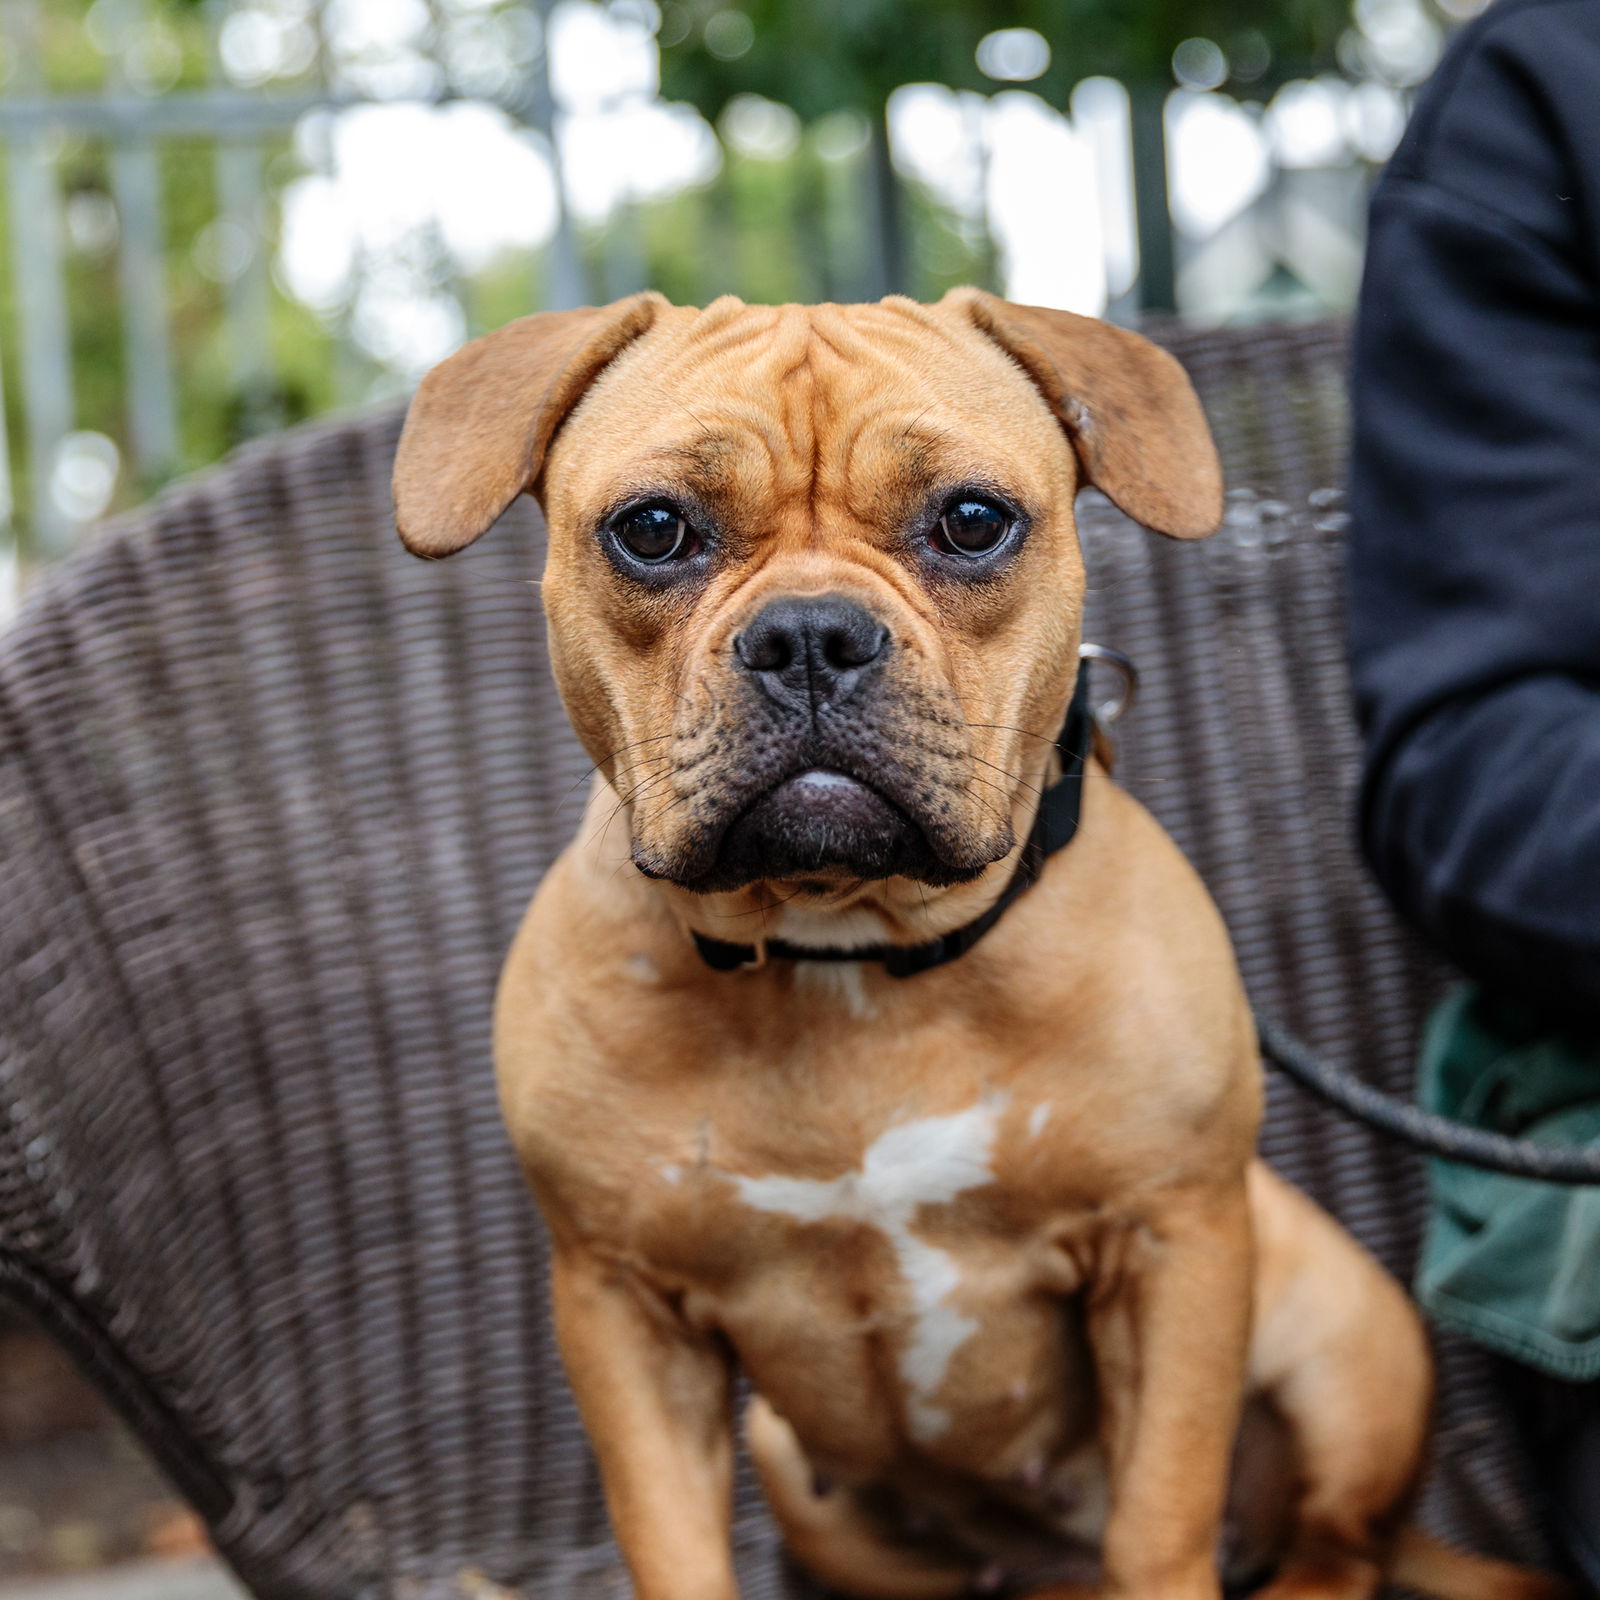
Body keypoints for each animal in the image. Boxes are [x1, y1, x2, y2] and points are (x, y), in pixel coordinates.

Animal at [393, 294, 1568, 1600]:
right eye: (652, 529)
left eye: (970, 520)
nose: (810, 634)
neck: (845, 949)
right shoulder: (624, 1310)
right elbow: (675, 1549)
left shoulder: (1172, 1243)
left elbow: (1160, 1521)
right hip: (800, 1473)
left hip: (1338, 1337)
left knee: (1332, 1540)